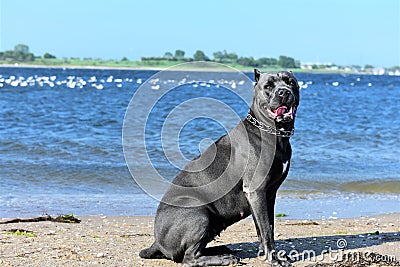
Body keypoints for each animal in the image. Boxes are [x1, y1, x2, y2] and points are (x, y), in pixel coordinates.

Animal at [141, 70, 300, 266]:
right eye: (268, 86)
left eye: (290, 82)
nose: (284, 92)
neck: (272, 133)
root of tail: (157, 242)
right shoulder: (256, 191)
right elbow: (266, 231)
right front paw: (274, 259)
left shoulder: (267, 195)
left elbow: (264, 227)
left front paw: (266, 253)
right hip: (198, 213)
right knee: (190, 257)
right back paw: (224, 259)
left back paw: (224, 250)